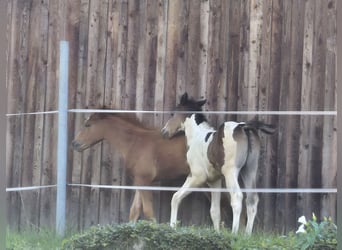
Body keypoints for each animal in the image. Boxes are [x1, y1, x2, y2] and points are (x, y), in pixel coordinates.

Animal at [160, 92, 276, 234]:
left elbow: (176, 197)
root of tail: (243, 126)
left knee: (237, 197)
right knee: (252, 199)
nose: (164, 132)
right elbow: (214, 211)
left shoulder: (197, 176)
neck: (197, 136)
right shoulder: (215, 180)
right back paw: (247, 235)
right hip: (249, 170)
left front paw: (172, 227)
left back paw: (234, 233)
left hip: (231, 171)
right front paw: (217, 233)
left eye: (172, 113)